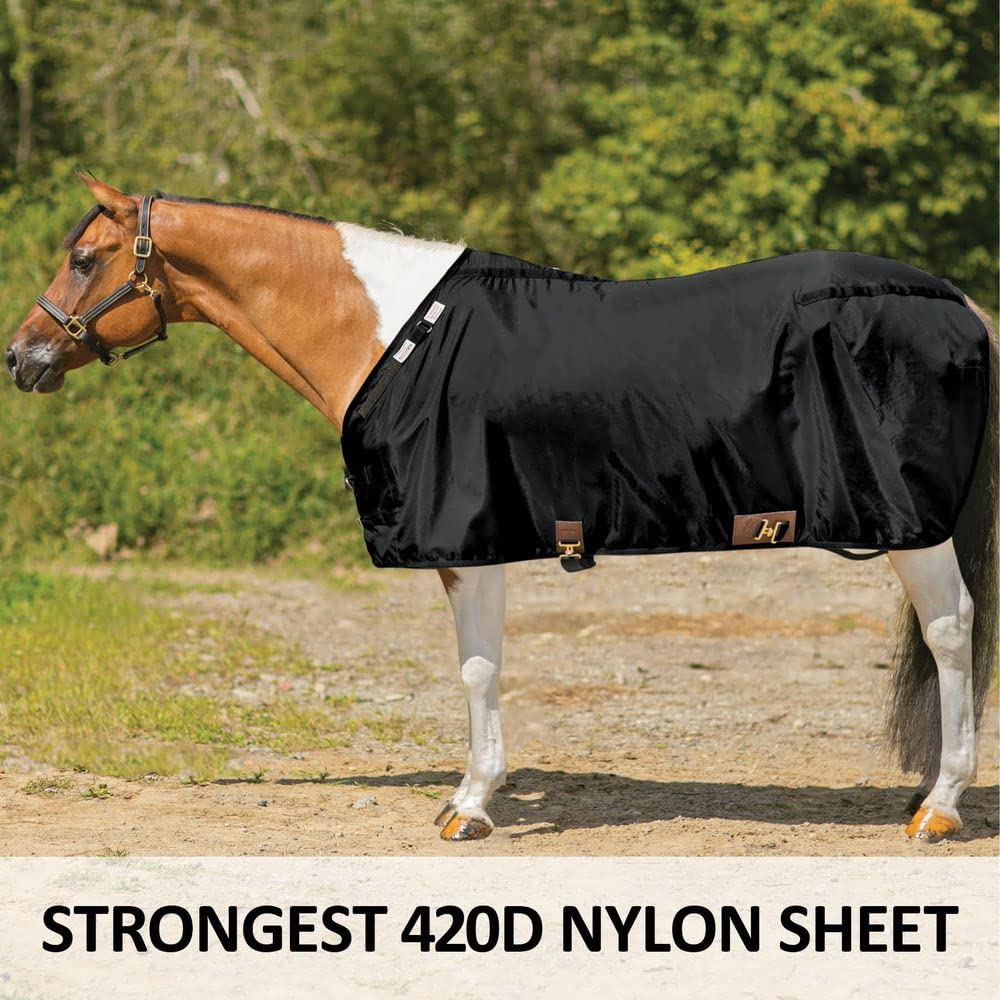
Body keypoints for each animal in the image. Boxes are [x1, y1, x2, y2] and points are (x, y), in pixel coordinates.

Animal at [7, 175, 996, 843]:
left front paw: (471, 806)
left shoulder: (466, 539)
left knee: (951, 632)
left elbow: (478, 669)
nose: (21, 357)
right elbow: (480, 666)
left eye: (85, 258)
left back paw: (940, 808)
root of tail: (955, 303)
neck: (394, 333)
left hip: (916, 527)